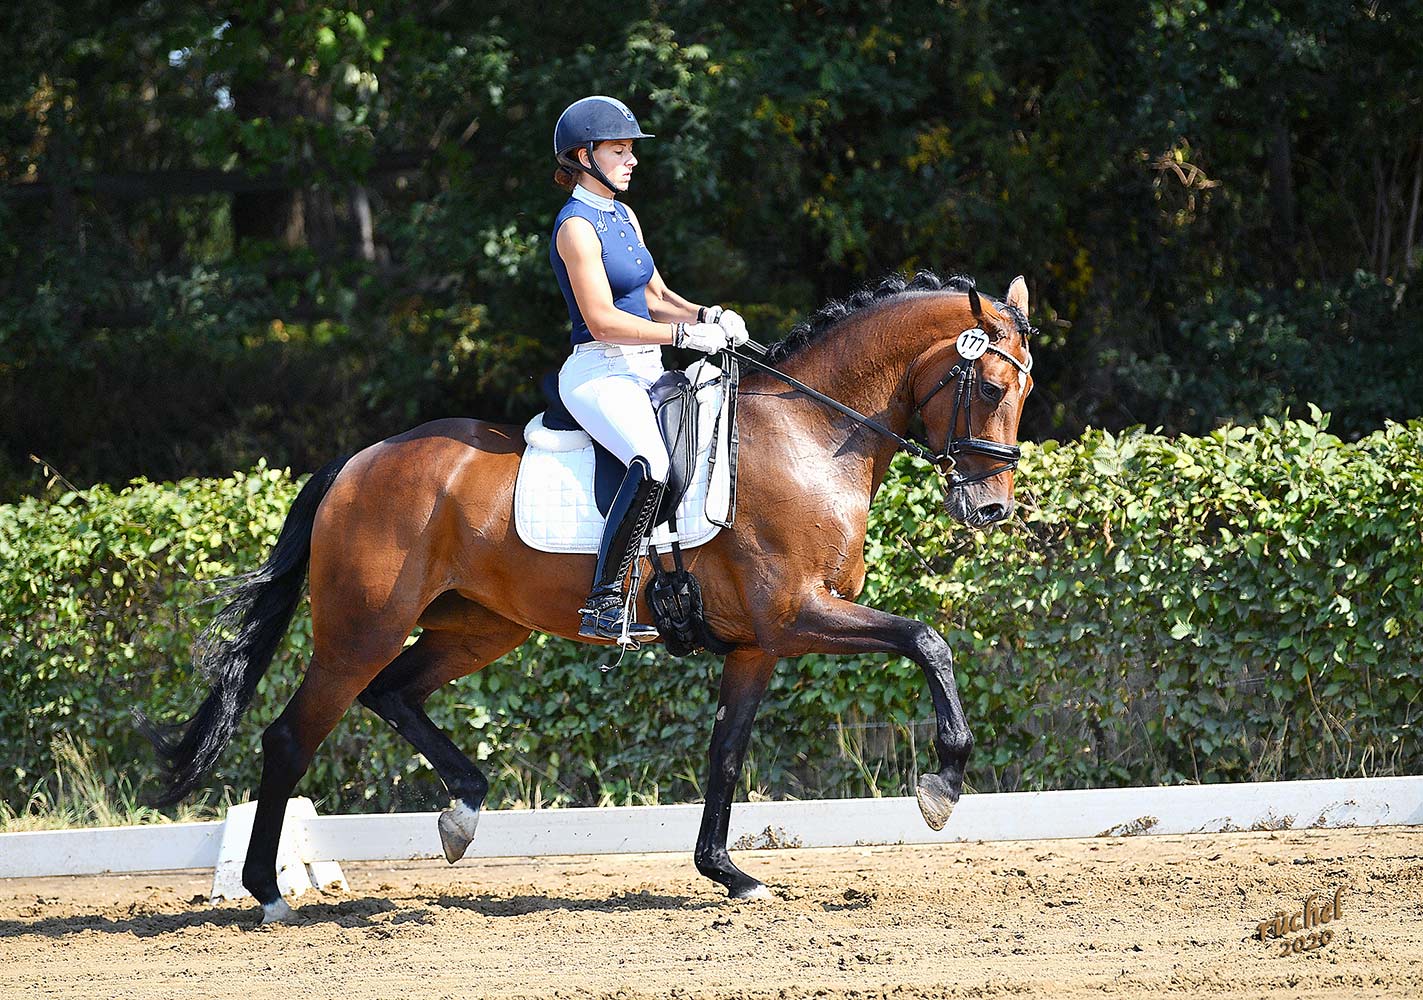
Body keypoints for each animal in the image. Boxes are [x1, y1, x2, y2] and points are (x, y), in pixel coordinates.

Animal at [141, 267, 1035, 921]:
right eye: (991, 389)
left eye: (1024, 392)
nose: (989, 509)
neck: (808, 436)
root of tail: (359, 460)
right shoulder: (796, 615)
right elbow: (926, 638)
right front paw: (941, 786)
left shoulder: (757, 644)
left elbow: (725, 754)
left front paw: (728, 873)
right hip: (361, 629)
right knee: (292, 737)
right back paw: (268, 893)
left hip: (477, 628)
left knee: (393, 693)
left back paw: (463, 810)